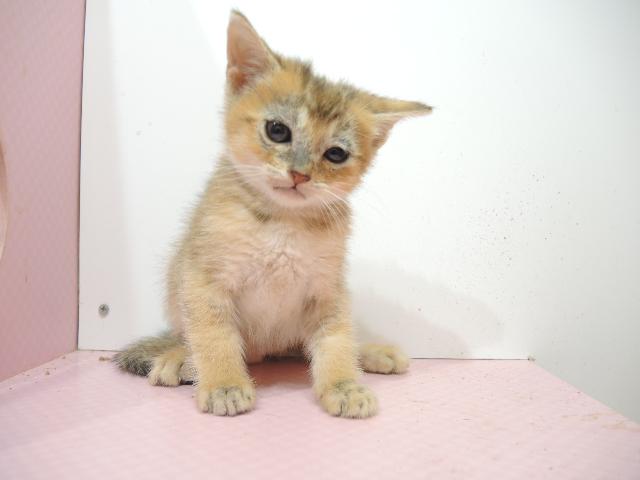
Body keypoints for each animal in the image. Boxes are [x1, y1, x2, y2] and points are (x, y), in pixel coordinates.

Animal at [114, 10, 431, 418]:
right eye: (277, 130)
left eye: (336, 154)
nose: (299, 174)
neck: (282, 223)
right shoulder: (203, 281)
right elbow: (214, 336)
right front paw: (224, 384)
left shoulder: (328, 290)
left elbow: (337, 339)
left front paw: (344, 385)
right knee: (190, 338)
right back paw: (177, 359)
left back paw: (372, 352)